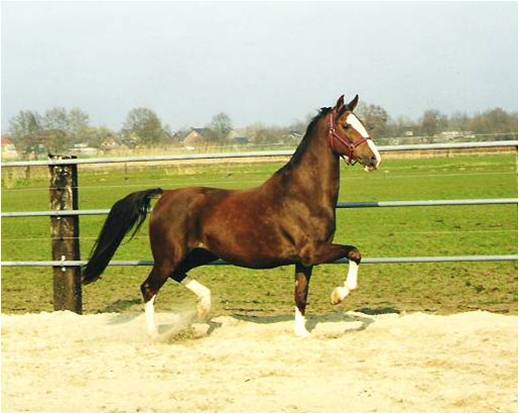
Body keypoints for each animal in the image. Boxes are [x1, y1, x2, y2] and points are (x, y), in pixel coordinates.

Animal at [82, 94, 381, 337]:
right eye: (347, 126)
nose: (375, 158)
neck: (302, 195)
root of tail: (164, 195)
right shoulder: (313, 252)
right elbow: (354, 252)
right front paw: (337, 296)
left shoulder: (304, 260)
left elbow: (300, 296)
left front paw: (302, 333)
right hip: (170, 255)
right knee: (148, 288)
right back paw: (157, 334)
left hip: (200, 253)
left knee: (177, 274)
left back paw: (203, 307)